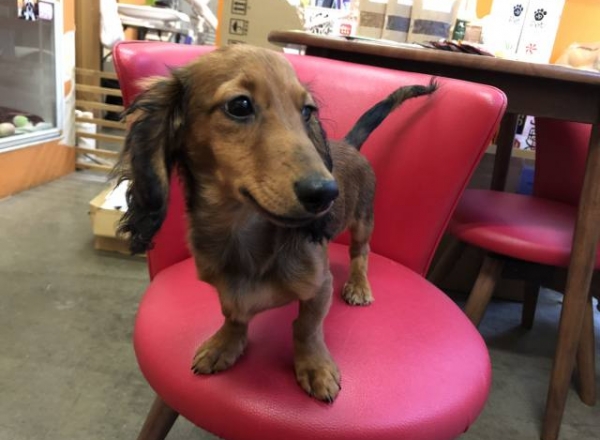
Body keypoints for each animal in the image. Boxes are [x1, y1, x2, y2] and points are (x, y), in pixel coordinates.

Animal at [116, 45, 436, 402]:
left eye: (307, 111)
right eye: (240, 105)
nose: (326, 193)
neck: (243, 231)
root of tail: (349, 143)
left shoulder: (320, 285)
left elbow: (307, 327)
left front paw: (315, 366)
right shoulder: (224, 287)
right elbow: (232, 312)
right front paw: (225, 342)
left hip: (364, 219)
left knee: (360, 253)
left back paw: (358, 285)